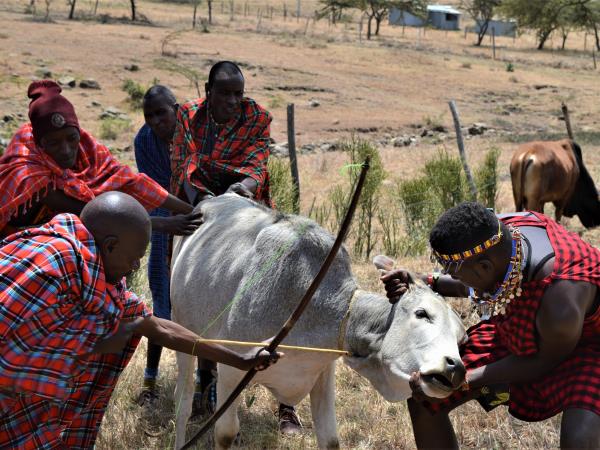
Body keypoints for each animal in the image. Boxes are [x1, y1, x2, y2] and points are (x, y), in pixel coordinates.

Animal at [171, 194, 466, 450]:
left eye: (461, 337)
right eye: (422, 313)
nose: (456, 368)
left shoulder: (323, 373)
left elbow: (330, 439)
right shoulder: (232, 368)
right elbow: (224, 433)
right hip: (182, 329)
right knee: (182, 403)